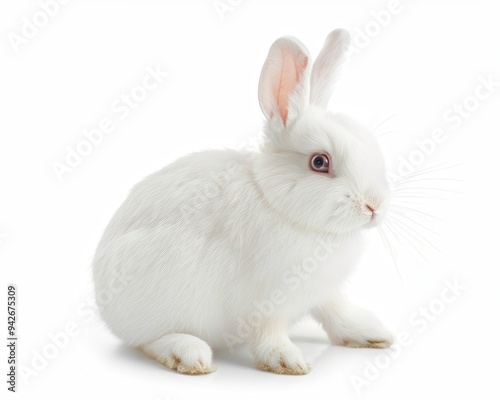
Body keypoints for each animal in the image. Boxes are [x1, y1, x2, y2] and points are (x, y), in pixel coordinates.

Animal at [92, 28, 392, 376]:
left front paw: (371, 334)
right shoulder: (264, 301)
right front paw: (287, 360)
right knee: (147, 340)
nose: (374, 206)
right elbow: (269, 332)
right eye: (319, 162)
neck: (279, 206)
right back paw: (189, 354)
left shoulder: (325, 291)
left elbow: (336, 311)